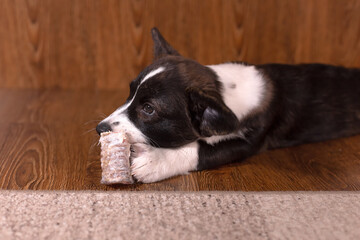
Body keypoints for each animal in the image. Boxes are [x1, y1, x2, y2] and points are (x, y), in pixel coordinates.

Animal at [95, 27, 360, 182]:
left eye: (149, 109)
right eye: (130, 93)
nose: (100, 128)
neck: (223, 90)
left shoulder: (249, 141)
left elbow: (203, 150)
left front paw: (155, 161)